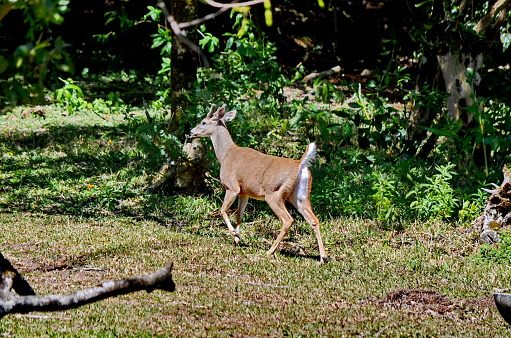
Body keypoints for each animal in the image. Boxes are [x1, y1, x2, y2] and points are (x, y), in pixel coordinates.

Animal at [189, 104, 328, 262]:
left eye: (204, 122)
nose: (191, 131)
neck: (226, 154)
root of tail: (300, 164)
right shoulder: (244, 192)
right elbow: (239, 215)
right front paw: (237, 239)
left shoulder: (232, 186)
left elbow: (223, 210)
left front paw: (235, 234)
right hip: (300, 195)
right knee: (314, 219)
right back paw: (322, 257)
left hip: (275, 193)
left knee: (288, 220)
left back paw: (270, 251)